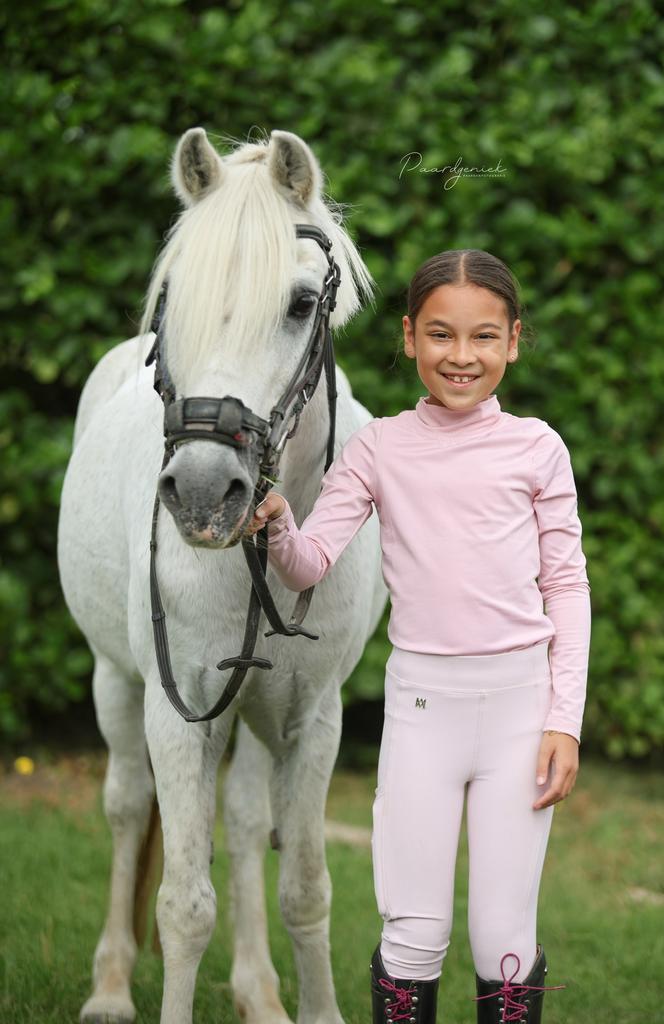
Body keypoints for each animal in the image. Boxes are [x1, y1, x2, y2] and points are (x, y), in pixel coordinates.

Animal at [57, 127, 388, 1024]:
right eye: (172, 301)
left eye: (302, 304)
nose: (205, 493)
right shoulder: (178, 715)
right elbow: (182, 905)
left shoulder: (313, 720)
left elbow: (305, 888)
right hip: (116, 683)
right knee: (126, 809)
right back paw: (108, 987)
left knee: (241, 824)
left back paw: (259, 993)